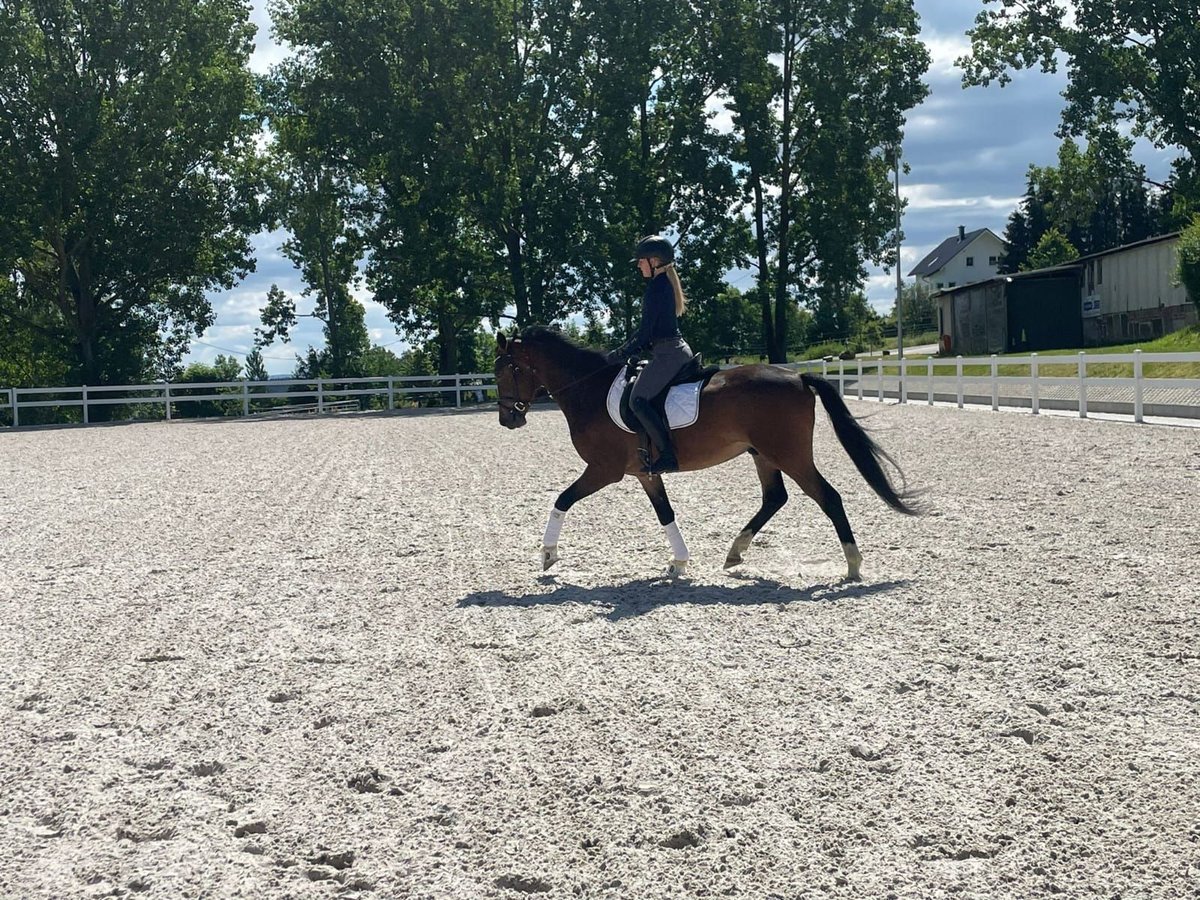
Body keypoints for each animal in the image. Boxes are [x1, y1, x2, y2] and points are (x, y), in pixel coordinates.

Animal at [492, 328, 912, 580]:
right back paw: (735, 552)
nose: (507, 419)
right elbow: (665, 514)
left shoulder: (603, 469)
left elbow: (562, 499)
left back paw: (853, 564)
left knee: (829, 497)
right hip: (763, 455)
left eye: (507, 371)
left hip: (789, 455)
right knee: (775, 498)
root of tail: (797, 376)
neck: (589, 390)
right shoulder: (645, 473)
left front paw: (548, 554)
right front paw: (679, 561)